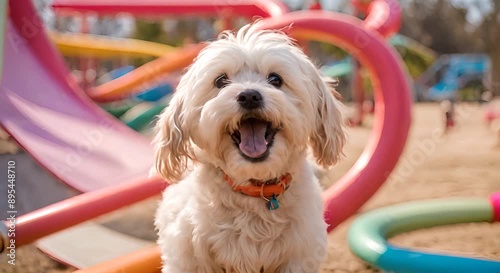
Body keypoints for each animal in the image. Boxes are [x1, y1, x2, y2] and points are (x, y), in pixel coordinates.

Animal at [152, 23, 346, 272]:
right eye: (220, 81)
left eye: (275, 79)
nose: (249, 95)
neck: (255, 190)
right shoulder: (189, 255)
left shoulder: (300, 254)